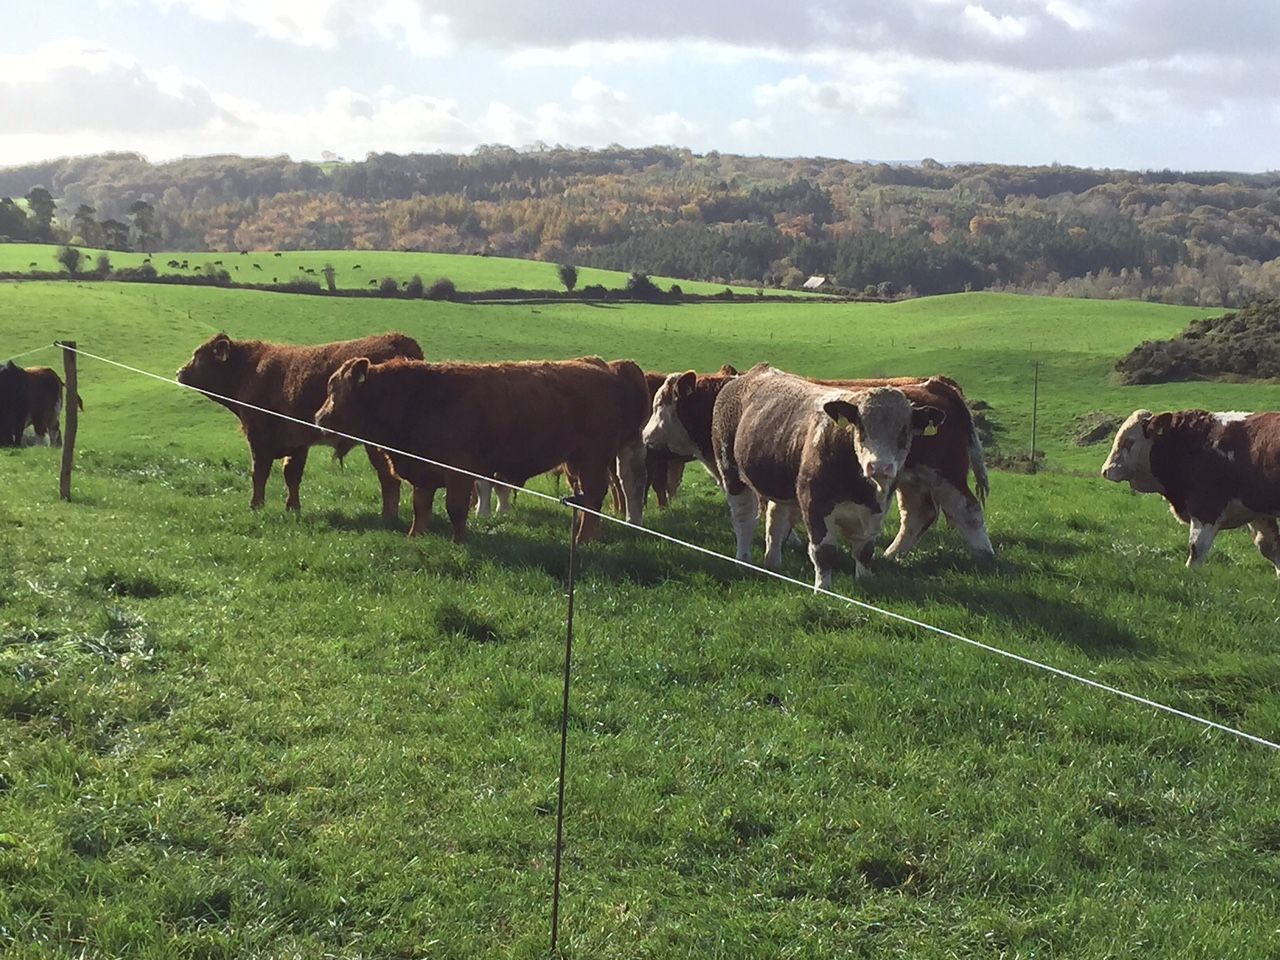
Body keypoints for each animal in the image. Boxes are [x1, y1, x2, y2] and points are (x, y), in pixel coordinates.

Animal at [176, 332, 423, 518]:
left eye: (198, 356)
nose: (179, 372)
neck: (250, 370)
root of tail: (397, 338)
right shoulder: (297, 444)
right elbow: (292, 475)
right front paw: (292, 508)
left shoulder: (259, 438)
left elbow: (259, 473)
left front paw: (256, 505)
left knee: (389, 478)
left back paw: (388, 517)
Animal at [314, 356, 649, 543]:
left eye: (336, 390)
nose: (319, 418)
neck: (419, 396)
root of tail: (603, 369)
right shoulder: (423, 472)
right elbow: (420, 507)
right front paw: (414, 538)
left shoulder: (459, 471)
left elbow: (456, 508)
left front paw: (459, 542)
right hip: (577, 461)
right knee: (587, 498)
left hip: (592, 457)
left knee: (593, 496)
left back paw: (583, 540)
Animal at [644, 368, 993, 563]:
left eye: (659, 404)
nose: (646, 436)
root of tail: (937, 384)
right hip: (911, 480)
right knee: (918, 515)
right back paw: (893, 554)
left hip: (946, 475)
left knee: (969, 510)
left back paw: (985, 556)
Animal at [711, 363, 943, 591]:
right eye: (860, 426)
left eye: (904, 431)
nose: (878, 466)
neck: (859, 488)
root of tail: (750, 373)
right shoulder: (814, 503)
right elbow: (824, 551)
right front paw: (823, 589)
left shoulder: (876, 509)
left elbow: (865, 550)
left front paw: (865, 581)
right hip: (730, 471)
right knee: (744, 519)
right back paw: (744, 560)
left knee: (776, 518)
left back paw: (773, 564)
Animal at [1101, 409, 1280, 573]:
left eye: (1128, 441)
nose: (1105, 470)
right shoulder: (1257, 510)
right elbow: (1270, 547)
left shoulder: (1205, 507)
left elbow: (1197, 549)